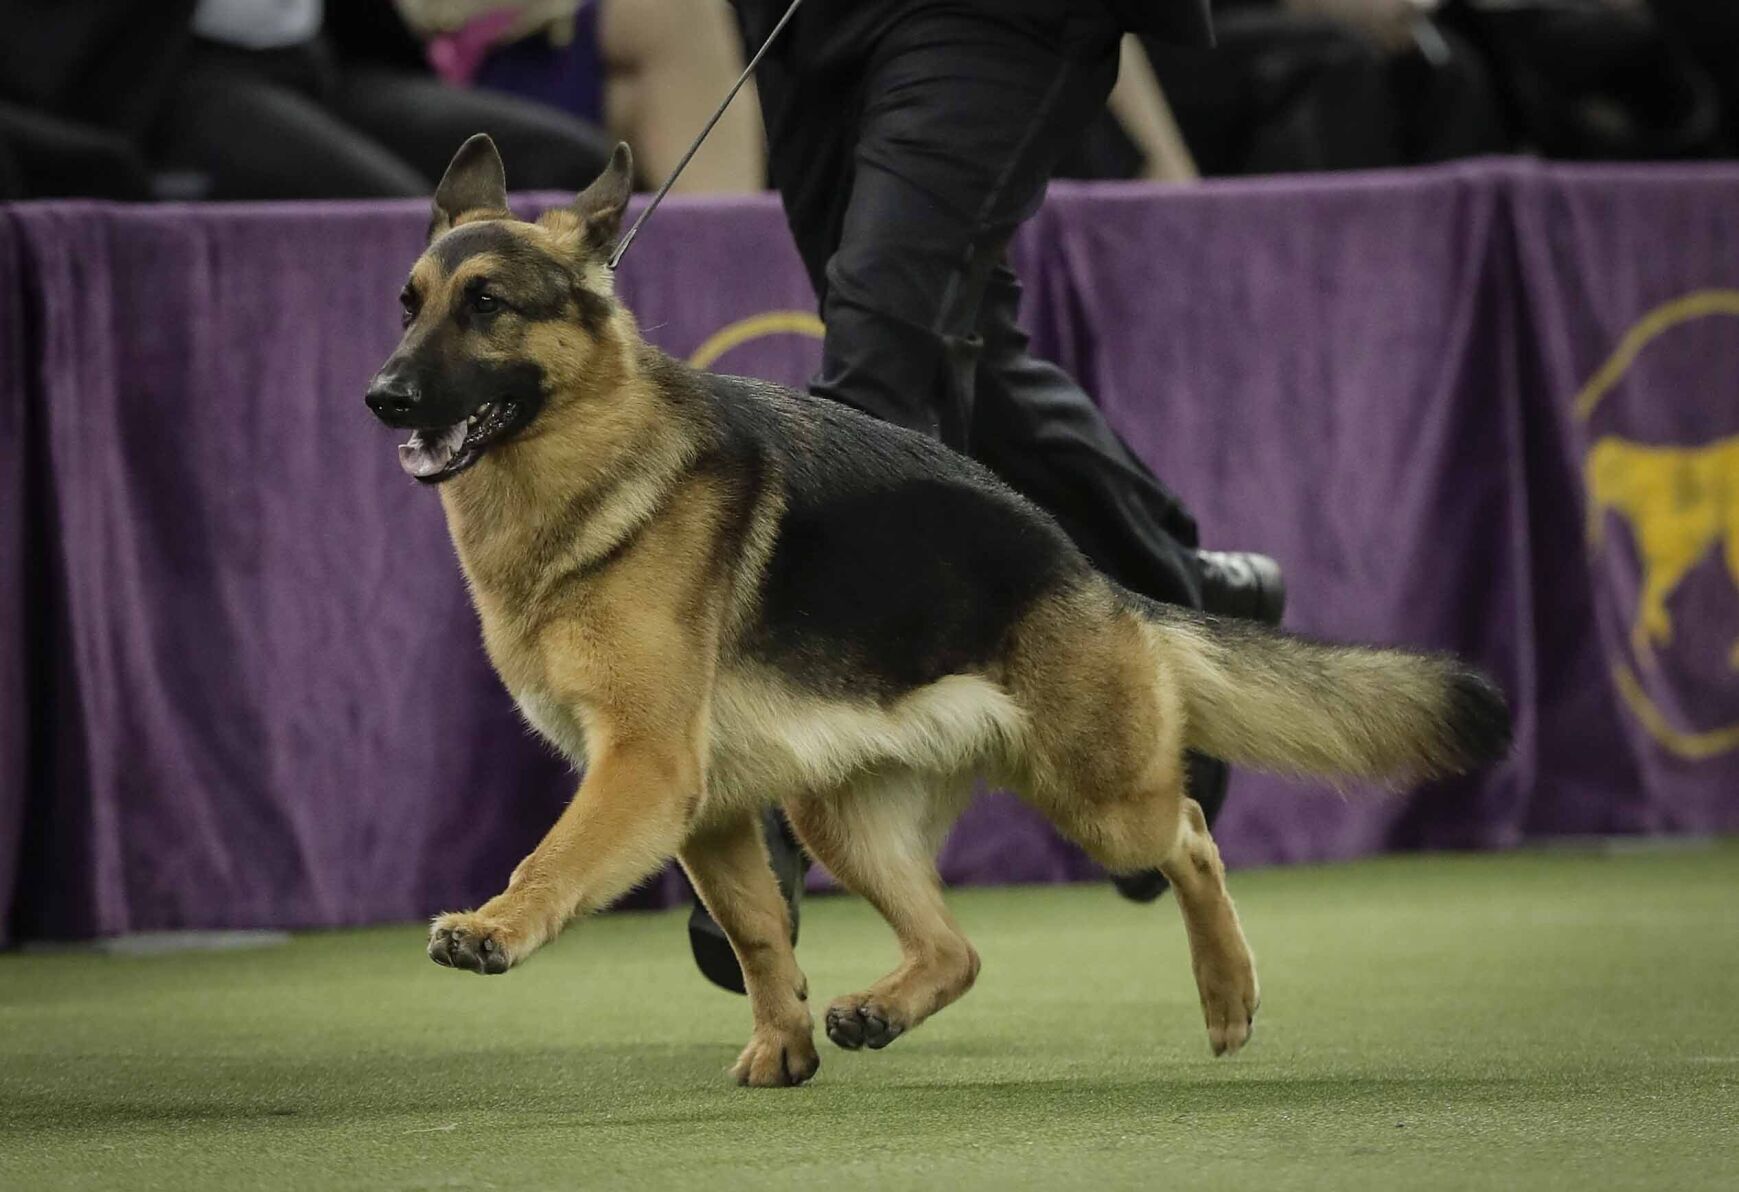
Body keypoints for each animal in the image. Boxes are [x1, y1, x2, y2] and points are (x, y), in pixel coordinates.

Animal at [363, 134, 1509, 1085]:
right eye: (408, 304)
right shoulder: (711, 808)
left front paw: (495, 927)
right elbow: (757, 935)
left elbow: (551, 856)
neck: (593, 466)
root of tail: (1088, 575)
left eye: (488, 306)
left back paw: (1226, 991)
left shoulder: (643, 766)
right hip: (837, 815)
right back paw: (881, 1009)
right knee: (955, 946)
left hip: (1097, 798)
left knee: (1186, 835)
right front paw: (780, 1045)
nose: (383, 398)